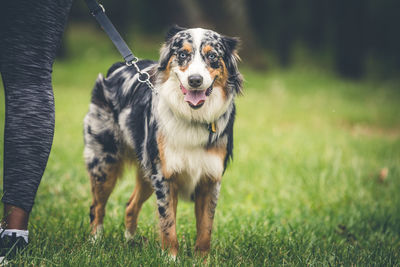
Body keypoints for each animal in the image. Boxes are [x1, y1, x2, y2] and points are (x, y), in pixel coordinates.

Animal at [83, 25, 242, 258]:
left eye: (212, 56)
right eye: (182, 54)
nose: (195, 80)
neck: (193, 116)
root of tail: (117, 68)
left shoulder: (210, 179)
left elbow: (206, 228)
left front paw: (201, 259)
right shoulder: (164, 176)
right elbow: (168, 224)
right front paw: (170, 258)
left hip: (146, 170)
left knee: (130, 205)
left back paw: (130, 241)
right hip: (105, 162)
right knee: (97, 206)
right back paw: (95, 242)